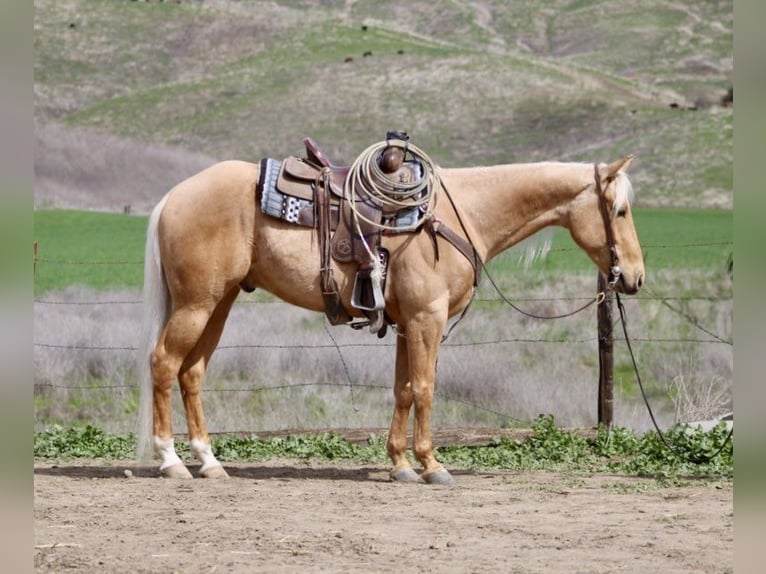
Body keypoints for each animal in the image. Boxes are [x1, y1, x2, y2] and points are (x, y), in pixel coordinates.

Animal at [136, 151, 644, 484]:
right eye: (619, 210)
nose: (636, 277)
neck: (457, 215)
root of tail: (173, 197)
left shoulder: (407, 324)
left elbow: (403, 390)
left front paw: (400, 464)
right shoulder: (426, 320)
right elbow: (424, 389)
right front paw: (432, 465)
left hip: (217, 303)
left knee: (192, 373)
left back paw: (209, 461)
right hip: (196, 304)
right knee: (163, 363)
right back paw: (171, 460)